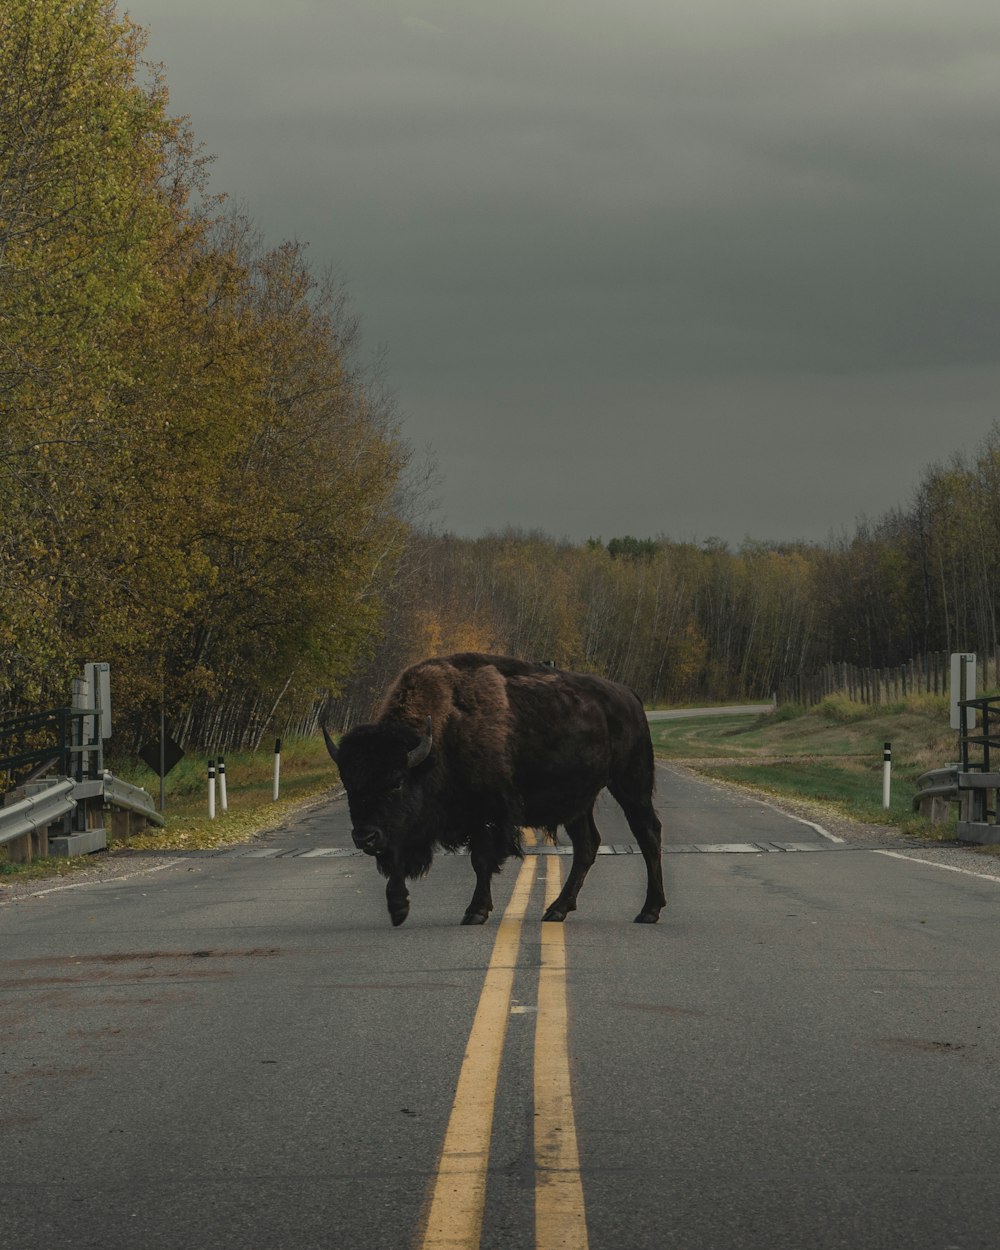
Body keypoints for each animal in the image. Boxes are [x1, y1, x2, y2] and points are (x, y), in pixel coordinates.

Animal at [322, 650, 665, 925]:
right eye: (349, 784)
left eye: (396, 782)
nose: (364, 837)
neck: (440, 739)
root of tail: (629, 696)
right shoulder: (408, 828)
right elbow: (397, 858)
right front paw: (398, 909)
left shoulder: (488, 815)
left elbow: (481, 861)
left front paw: (475, 911)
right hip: (579, 802)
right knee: (587, 845)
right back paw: (557, 909)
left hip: (631, 783)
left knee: (647, 834)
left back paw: (649, 910)